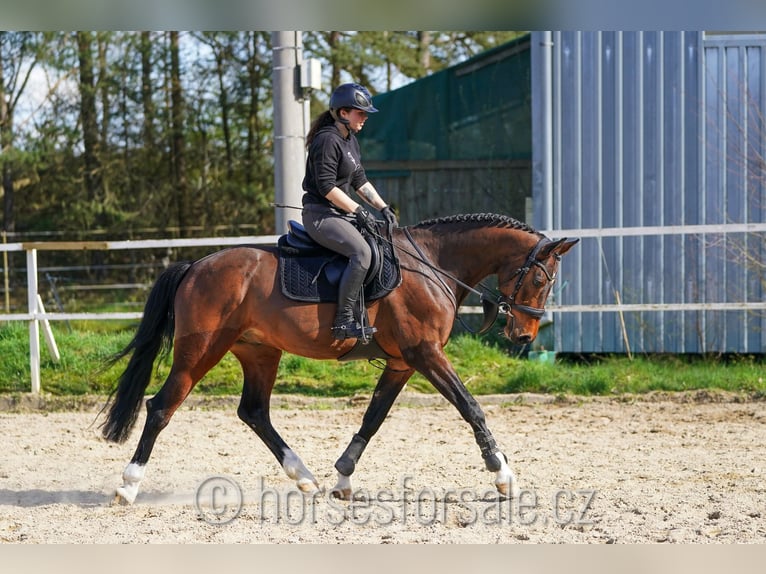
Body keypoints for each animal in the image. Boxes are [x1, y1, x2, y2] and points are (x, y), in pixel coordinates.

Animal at [102, 215, 580, 504]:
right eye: (540, 280)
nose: (524, 335)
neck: (433, 265)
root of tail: (196, 265)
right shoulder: (426, 354)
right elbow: (471, 408)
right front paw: (503, 475)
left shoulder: (403, 363)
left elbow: (373, 418)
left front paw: (344, 477)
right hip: (200, 352)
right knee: (161, 407)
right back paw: (129, 486)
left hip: (260, 352)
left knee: (254, 412)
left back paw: (304, 476)